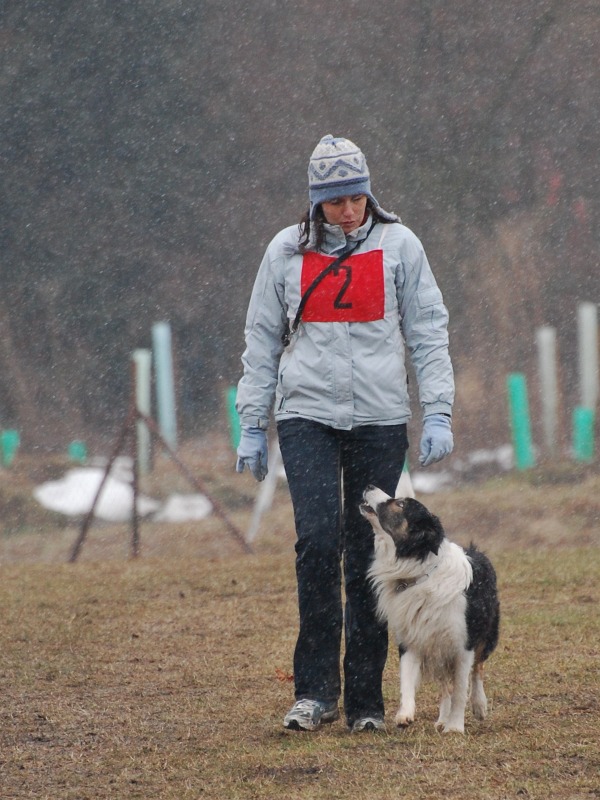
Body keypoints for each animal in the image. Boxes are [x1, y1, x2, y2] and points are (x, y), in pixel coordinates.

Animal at [358, 484, 500, 736]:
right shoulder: (411, 639)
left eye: (401, 504)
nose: (369, 485)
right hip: (437, 647)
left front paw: (455, 727)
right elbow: (406, 681)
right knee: (445, 685)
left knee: (477, 670)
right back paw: (442, 718)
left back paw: (479, 706)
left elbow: (461, 688)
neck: (418, 571)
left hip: (485, 634)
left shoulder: (463, 645)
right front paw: (404, 715)